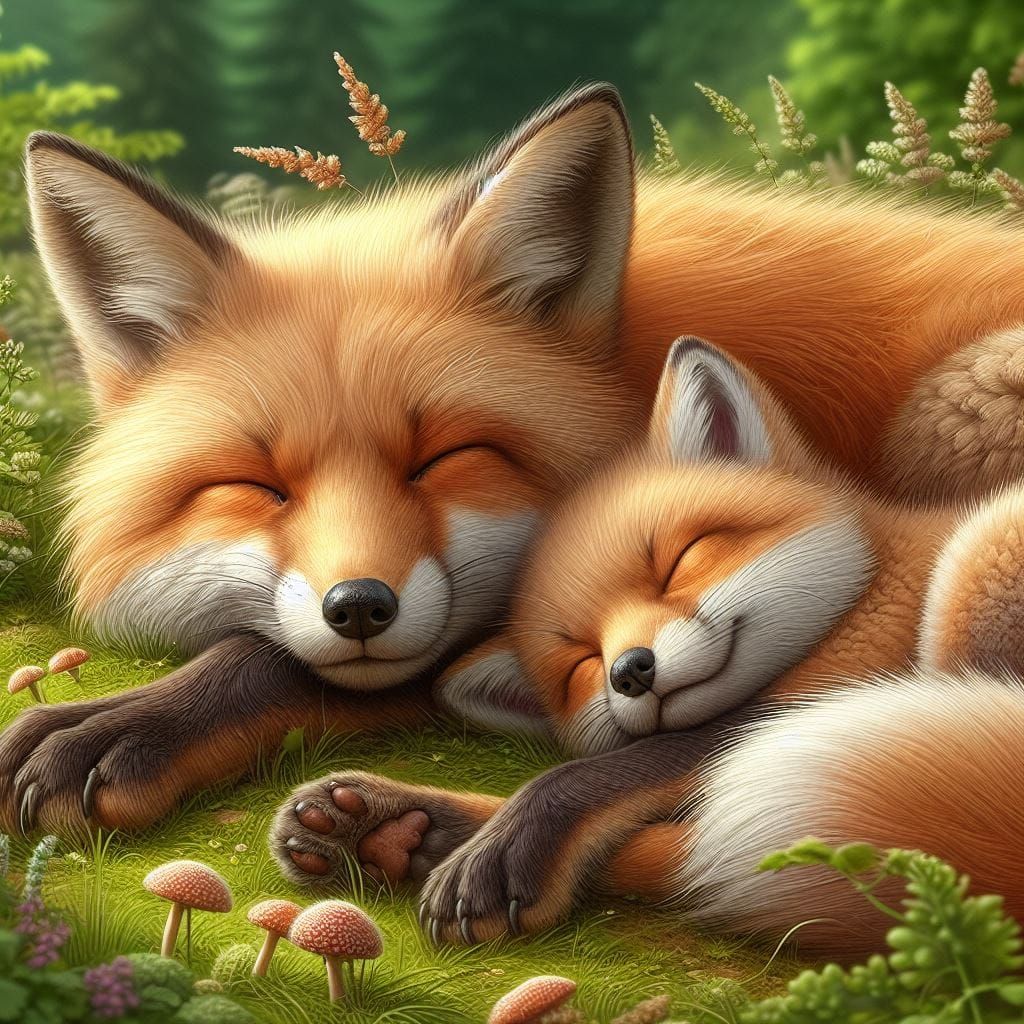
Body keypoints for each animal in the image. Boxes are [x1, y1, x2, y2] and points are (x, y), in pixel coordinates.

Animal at [5, 81, 1024, 836]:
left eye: (445, 458)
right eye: (256, 487)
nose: (359, 607)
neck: (637, 350)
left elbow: (276, 660)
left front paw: (125, 728)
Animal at [273, 337, 1024, 958]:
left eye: (678, 561)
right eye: (580, 662)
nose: (631, 671)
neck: (867, 596)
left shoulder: (839, 680)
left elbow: (600, 773)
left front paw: (496, 847)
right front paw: (405, 826)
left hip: (978, 560)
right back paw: (395, 834)